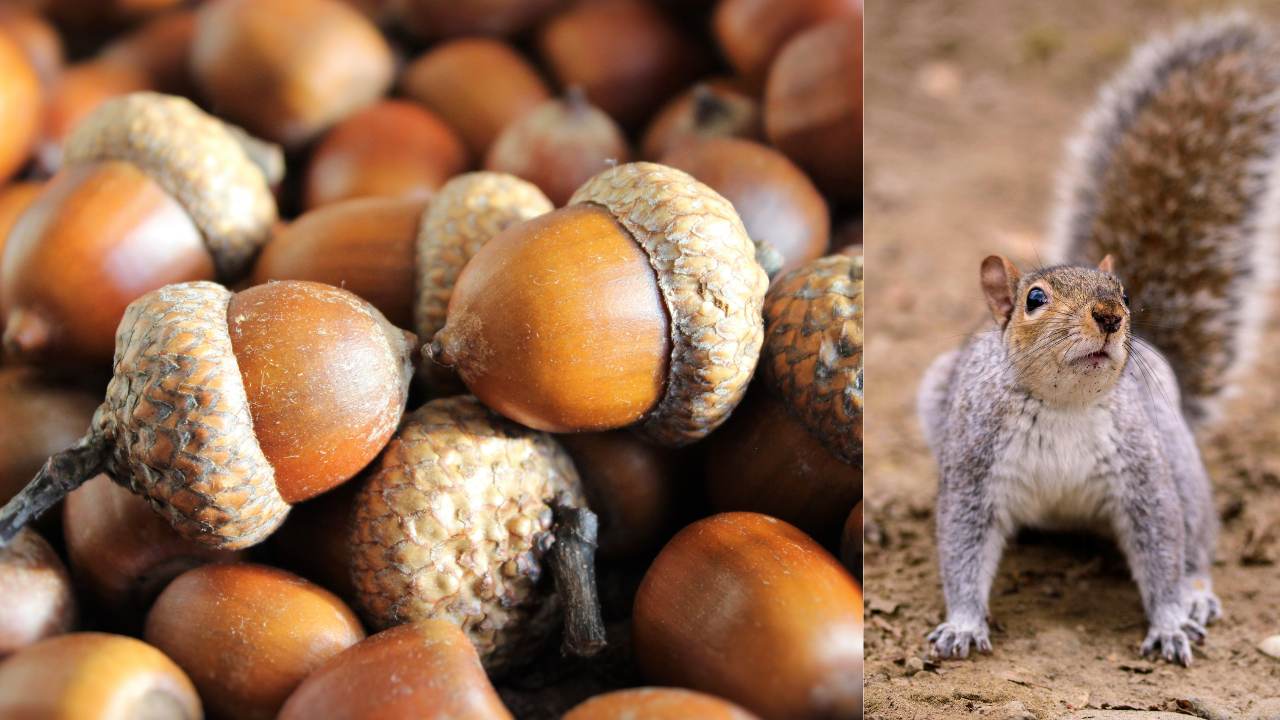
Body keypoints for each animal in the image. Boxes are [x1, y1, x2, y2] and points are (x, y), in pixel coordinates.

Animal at [918, 13, 1280, 667]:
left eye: (1126, 295)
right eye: (1034, 300)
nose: (1110, 316)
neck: (1064, 406)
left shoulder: (1144, 469)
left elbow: (1163, 545)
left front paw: (1170, 620)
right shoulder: (972, 464)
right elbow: (960, 548)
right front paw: (961, 624)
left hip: (1180, 457)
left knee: (1196, 539)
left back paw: (1197, 595)